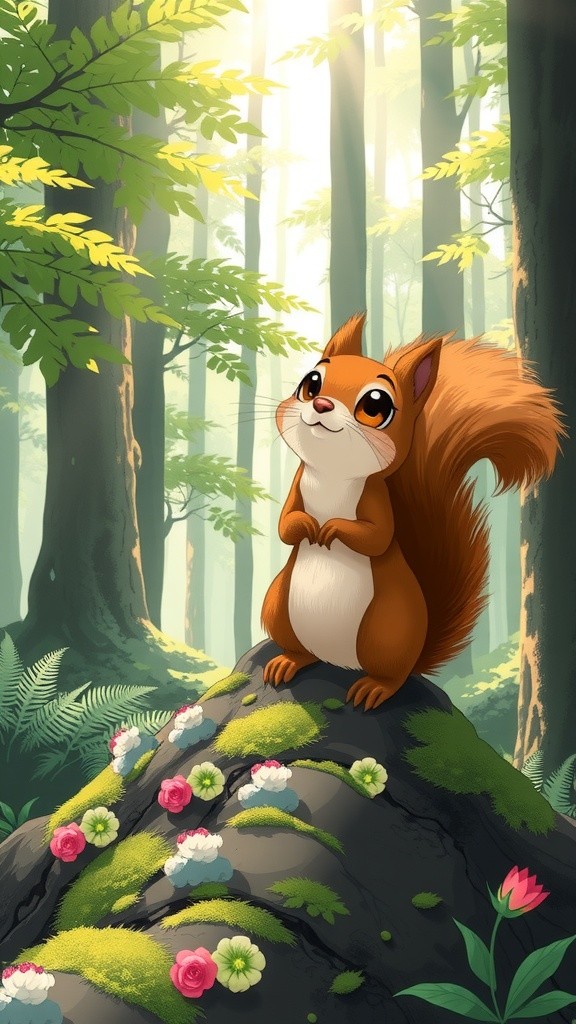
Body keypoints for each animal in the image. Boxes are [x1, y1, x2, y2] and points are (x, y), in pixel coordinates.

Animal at [261, 312, 565, 710]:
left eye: (376, 405)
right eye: (310, 384)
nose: (322, 404)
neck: (332, 473)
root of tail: (338, 662)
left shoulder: (376, 499)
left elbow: (376, 537)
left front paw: (332, 528)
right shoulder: (297, 487)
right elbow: (285, 526)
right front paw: (309, 525)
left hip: (386, 630)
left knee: (392, 675)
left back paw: (374, 689)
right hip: (278, 606)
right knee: (302, 652)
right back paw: (286, 661)